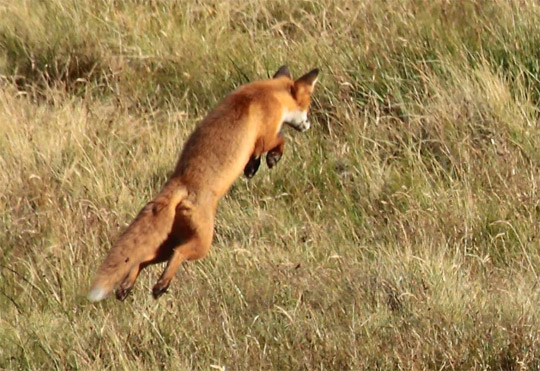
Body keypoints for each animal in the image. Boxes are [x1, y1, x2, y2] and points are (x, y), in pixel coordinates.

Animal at [86, 65, 318, 300]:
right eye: (308, 105)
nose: (309, 126)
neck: (267, 93)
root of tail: (179, 184)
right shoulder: (266, 134)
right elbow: (280, 139)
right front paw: (271, 158)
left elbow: (258, 155)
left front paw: (253, 167)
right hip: (202, 243)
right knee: (177, 254)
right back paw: (161, 285)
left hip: (168, 244)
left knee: (141, 260)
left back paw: (127, 287)